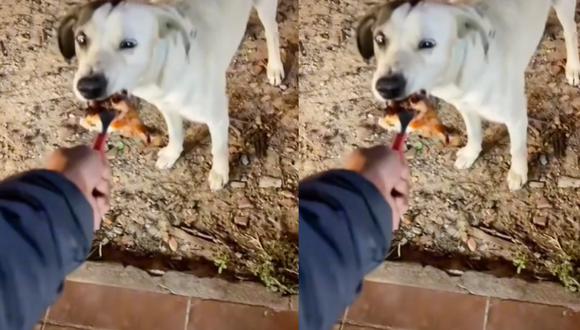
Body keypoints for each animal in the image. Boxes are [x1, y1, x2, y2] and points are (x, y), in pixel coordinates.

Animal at [57, 0, 284, 191]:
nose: (87, 87)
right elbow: (175, 133)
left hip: (265, 7)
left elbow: (218, 148)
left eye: (128, 44)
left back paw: (275, 67)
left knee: (272, 31)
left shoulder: (218, 117)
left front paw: (219, 173)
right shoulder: (167, 107)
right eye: (81, 39)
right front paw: (172, 154)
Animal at [356, 0, 580, 191]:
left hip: (564, 7)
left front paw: (518, 173)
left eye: (427, 44)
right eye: (380, 39)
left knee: (570, 31)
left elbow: (517, 148)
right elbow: (474, 133)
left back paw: (573, 68)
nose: (385, 87)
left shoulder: (516, 117)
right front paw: (472, 153)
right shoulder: (465, 107)